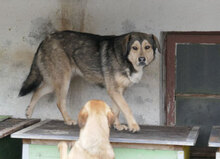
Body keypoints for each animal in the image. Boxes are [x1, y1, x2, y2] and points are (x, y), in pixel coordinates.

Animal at [18, 30, 160, 132]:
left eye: (147, 47)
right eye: (135, 48)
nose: (142, 59)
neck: (125, 58)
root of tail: (45, 39)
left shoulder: (118, 91)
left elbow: (116, 109)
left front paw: (117, 126)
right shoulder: (114, 90)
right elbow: (126, 108)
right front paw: (133, 126)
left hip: (53, 81)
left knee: (38, 90)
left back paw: (29, 111)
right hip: (63, 80)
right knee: (59, 102)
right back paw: (68, 120)